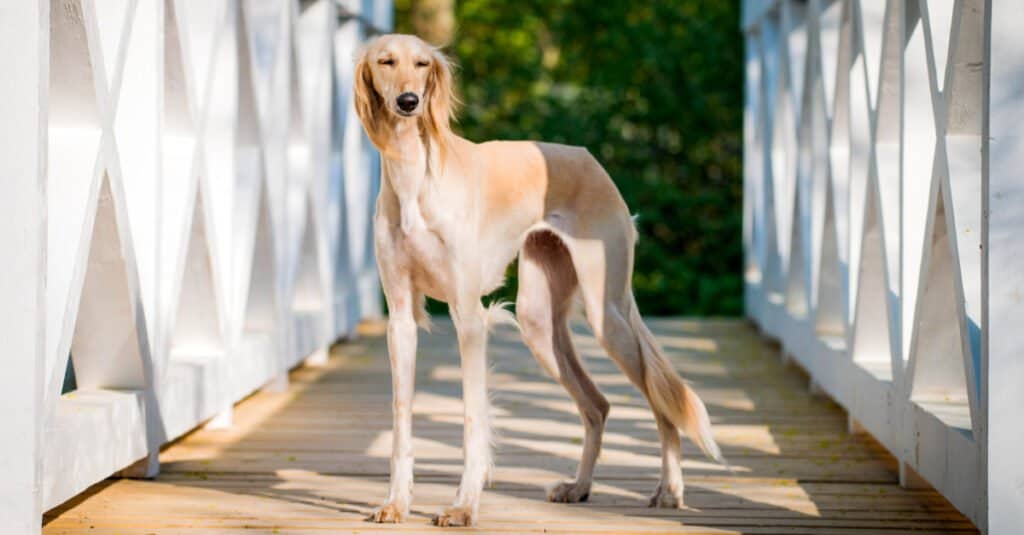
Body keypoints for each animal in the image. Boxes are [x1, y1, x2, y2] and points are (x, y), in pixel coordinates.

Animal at [356, 33, 724, 524]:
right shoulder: (400, 319)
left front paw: (464, 506)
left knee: (660, 400)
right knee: (597, 405)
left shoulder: (468, 316)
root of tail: (590, 159)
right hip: (538, 320)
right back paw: (580, 487)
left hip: (607, 313)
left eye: (421, 65)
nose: (409, 102)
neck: (414, 174)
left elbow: (473, 416)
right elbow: (401, 419)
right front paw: (396, 502)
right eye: (385, 61)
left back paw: (670, 489)